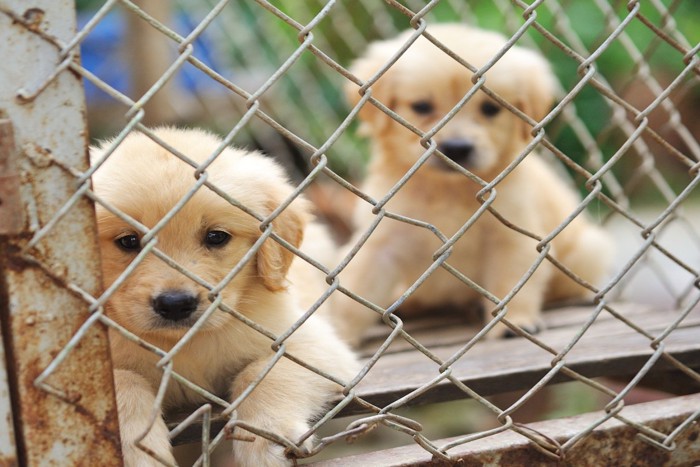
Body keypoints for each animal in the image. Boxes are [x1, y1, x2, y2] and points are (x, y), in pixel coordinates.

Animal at [90, 126, 358, 466]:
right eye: (128, 241)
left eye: (216, 237)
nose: (175, 305)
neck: (184, 344)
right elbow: (123, 380)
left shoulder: (309, 343)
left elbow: (263, 374)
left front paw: (265, 435)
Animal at [336, 22, 616, 344]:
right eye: (421, 106)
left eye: (490, 109)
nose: (457, 149)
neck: (450, 189)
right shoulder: (382, 242)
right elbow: (354, 295)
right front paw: (338, 334)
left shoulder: (512, 237)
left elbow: (511, 283)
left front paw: (514, 322)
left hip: (588, 250)